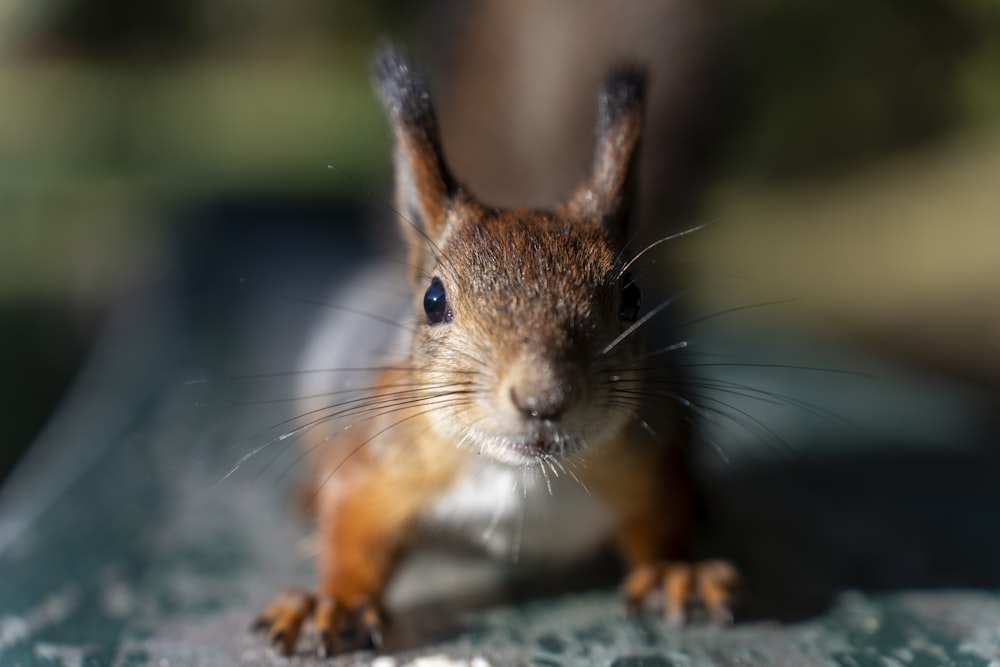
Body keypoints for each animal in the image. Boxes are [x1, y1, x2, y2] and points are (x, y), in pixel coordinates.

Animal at [252, 40, 736, 656]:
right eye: (433, 300)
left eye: (632, 298)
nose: (543, 399)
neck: (521, 479)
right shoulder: (384, 461)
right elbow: (353, 529)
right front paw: (330, 603)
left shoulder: (647, 458)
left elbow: (662, 521)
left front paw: (680, 573)